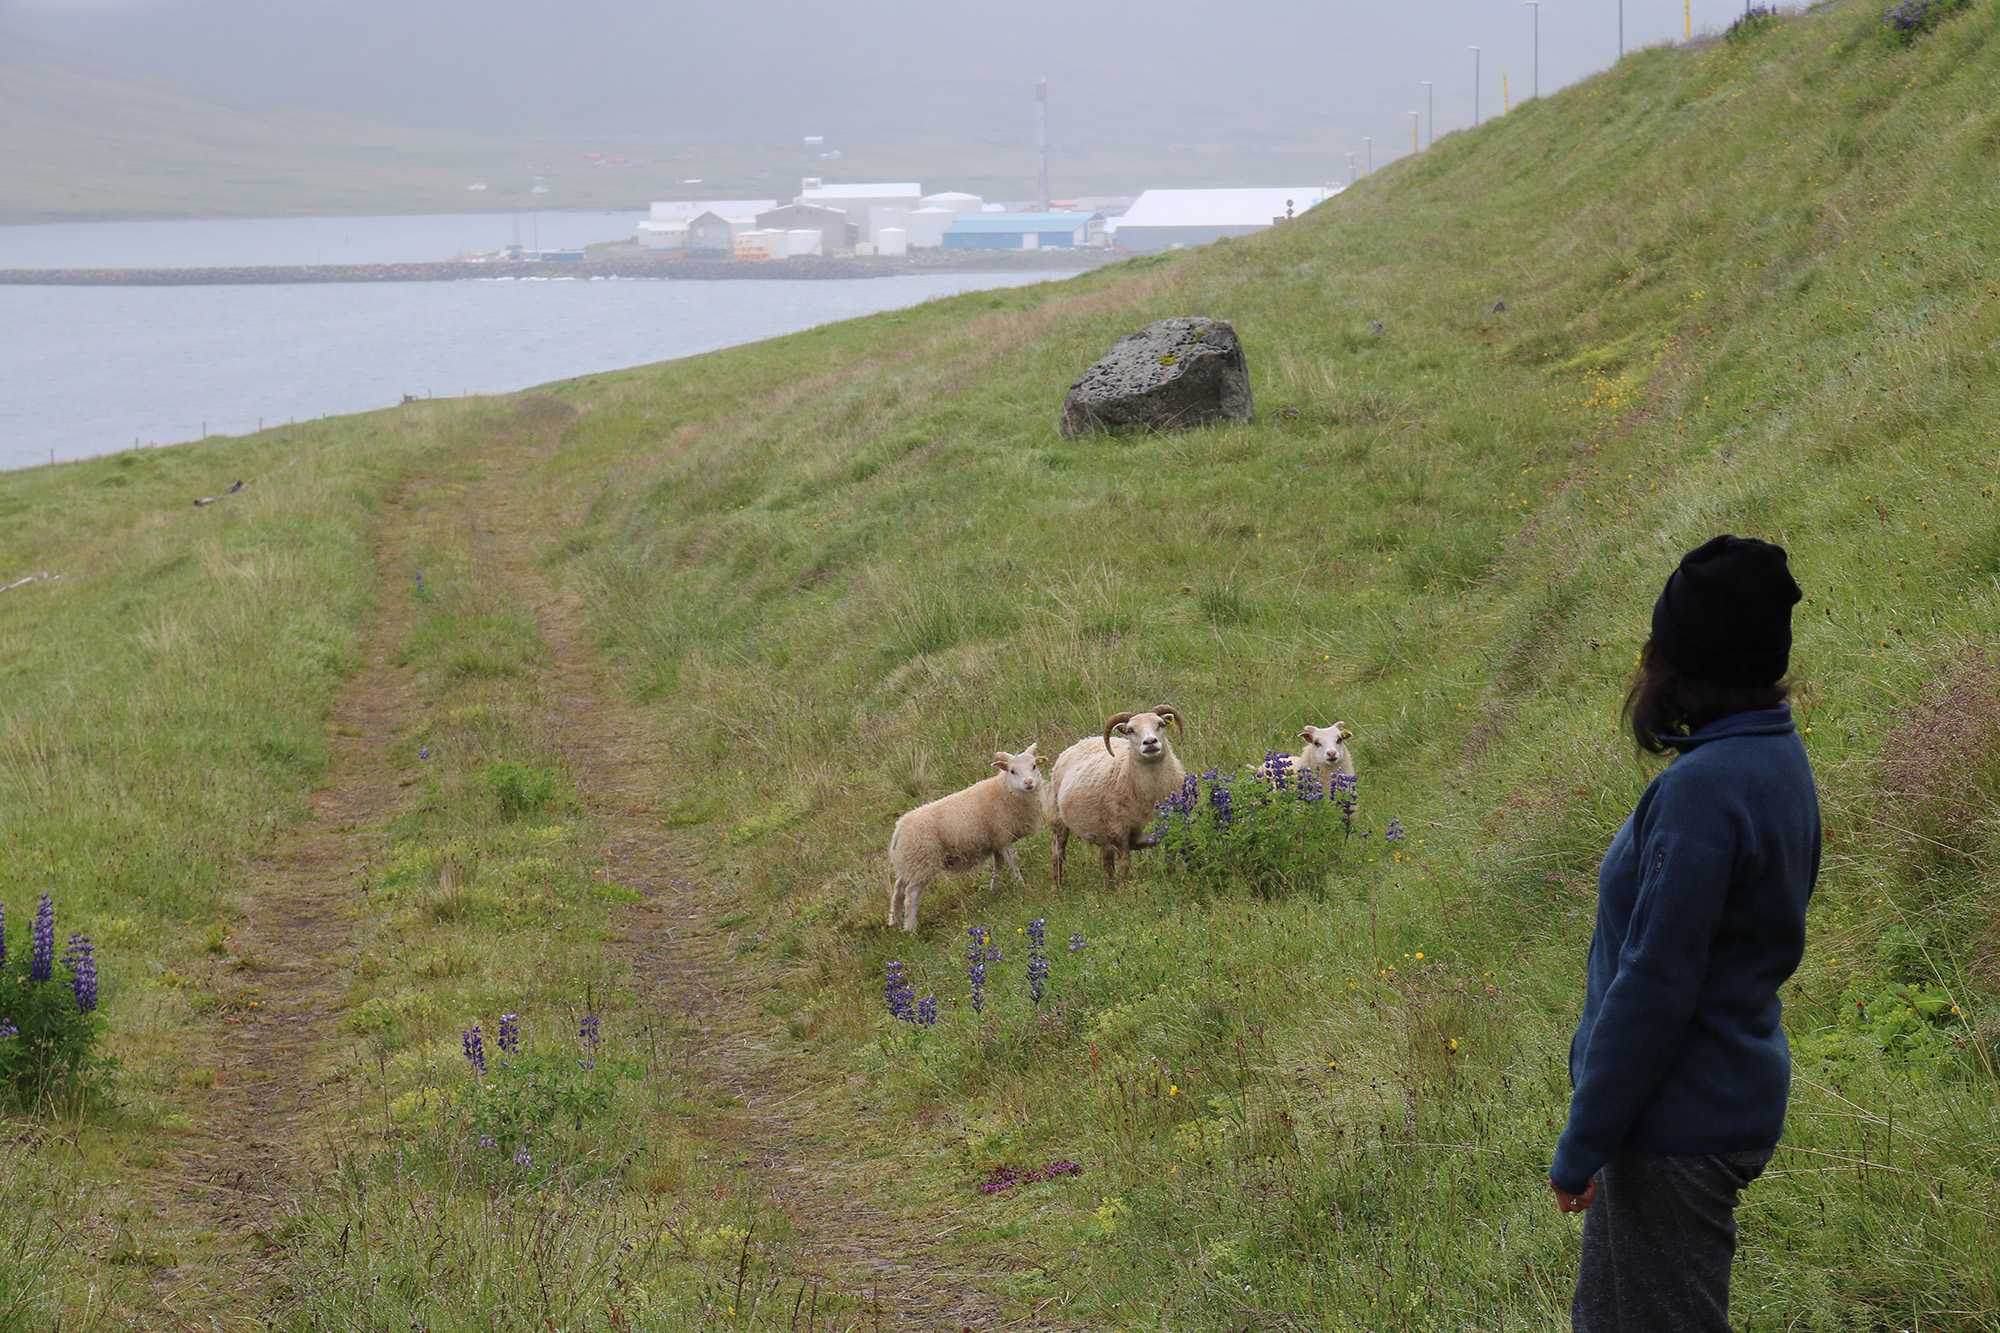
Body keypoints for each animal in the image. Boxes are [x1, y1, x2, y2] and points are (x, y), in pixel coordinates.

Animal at [892, 740, 1048, 928]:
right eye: (1012, 771)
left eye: (1034, 766)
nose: (1028, 782)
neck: (1004, 790)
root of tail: (899, 828)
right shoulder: (1003, 836)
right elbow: (1013, 862)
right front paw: (1020, 884)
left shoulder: (996, 840)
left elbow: (998, 865)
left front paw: (994, 888)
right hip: (922, 860)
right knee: (911, 895)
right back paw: (911, 928)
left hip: (909, 862)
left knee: (899, 890)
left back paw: (895, 922)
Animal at [1040, 700, 1176, 888]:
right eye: (1130, 730)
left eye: (1161, 724)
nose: (1150, 742)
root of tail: (1085, 740)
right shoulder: (1118, 830)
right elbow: (1125, 863)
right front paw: (1122, 889)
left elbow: (1170, 860)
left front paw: (1172, 882)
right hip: (1057, 821)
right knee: (1057, 853)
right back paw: (1057, 887)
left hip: (1102, 830)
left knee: (1106, 860)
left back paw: (1108, 887)